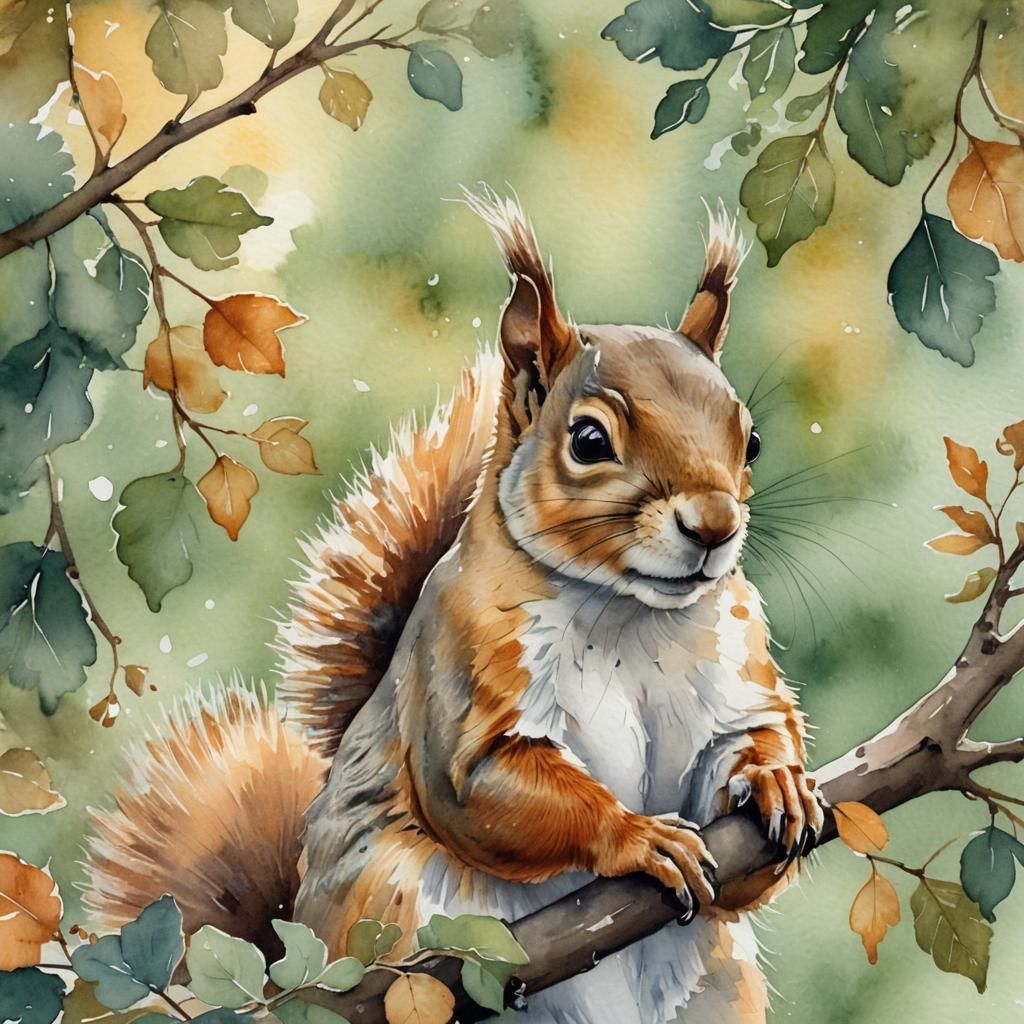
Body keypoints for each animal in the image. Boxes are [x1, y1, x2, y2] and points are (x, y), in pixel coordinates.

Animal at [83, 188, 823, 1024]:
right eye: (589, 440)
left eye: (751, 441)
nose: (714, 526)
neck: (627, 611)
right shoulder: (464, 667)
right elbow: (479, 784)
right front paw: (635, 837)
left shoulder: (737, 665)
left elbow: (748, 747)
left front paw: (778, 780)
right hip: (395, 910)